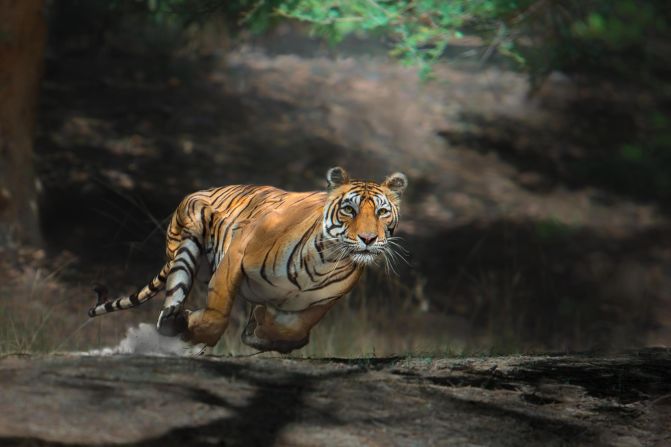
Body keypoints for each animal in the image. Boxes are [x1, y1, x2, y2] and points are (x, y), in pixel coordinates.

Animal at [86, 168, 406, 354]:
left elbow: (293, 329)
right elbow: (217, 315)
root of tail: (201, 189)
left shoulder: (323, 302)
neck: (325, 260)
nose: (368, 238)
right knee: (168, 308)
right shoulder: (235, 259)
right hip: (186, 248)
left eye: (382, 212)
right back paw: (174, 334)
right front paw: (193, 327)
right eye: (349, 210)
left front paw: (260, 329)